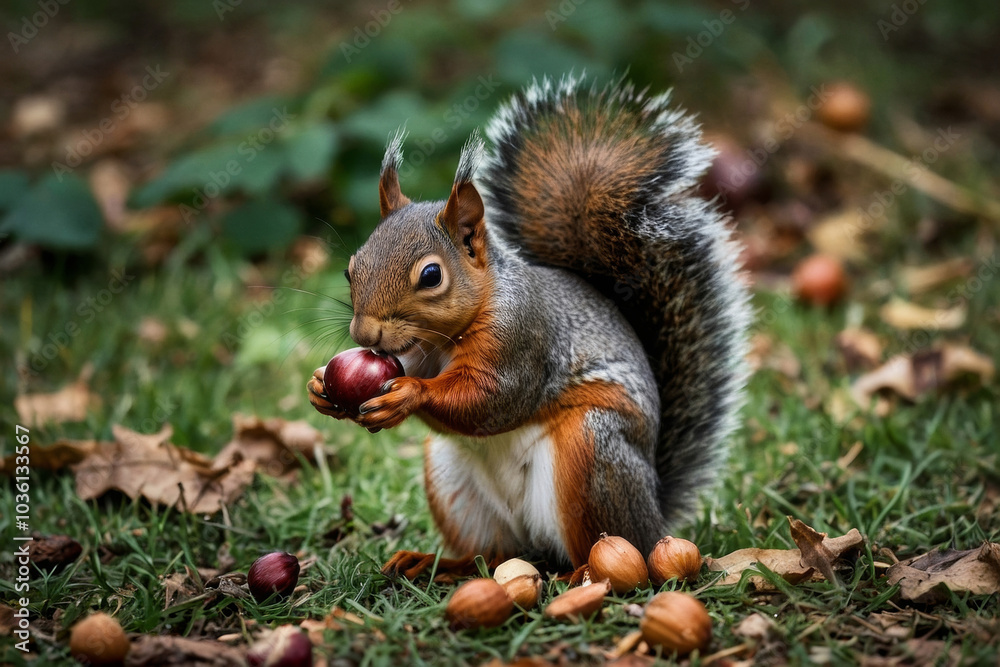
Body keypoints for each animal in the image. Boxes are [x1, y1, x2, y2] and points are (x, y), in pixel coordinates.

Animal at [308, 75, 751, 577]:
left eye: (431, 275)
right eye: (351, 268)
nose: (365, 336)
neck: (451, 334)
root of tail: (657, 515)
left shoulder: (521, 338)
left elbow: (493, 398)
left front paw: (408, 395)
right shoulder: (417, 352)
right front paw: (321, 387)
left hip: (592, 453)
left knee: (613, 545)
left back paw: (586, 574)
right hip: (456, 485)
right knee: (495, 554)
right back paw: (434, 563)